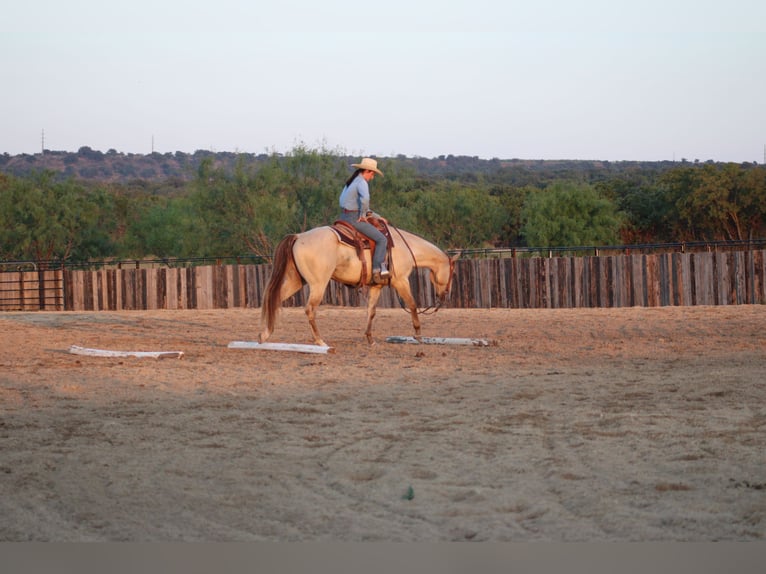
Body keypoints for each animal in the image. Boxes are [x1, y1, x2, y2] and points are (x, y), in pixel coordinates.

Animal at [258, 223, 458, 347]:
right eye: (453, 273)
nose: (446, 296)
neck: (404, 247)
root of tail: (299, 237)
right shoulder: (401, 281)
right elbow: (413, 305)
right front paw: (418, 335)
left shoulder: (377, 286)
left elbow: (371, 311)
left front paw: (370, 339)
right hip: (318, 284)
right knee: (309, 309)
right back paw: (320, 341)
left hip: (296, 281)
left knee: (273, 299)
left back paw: (264, 335)